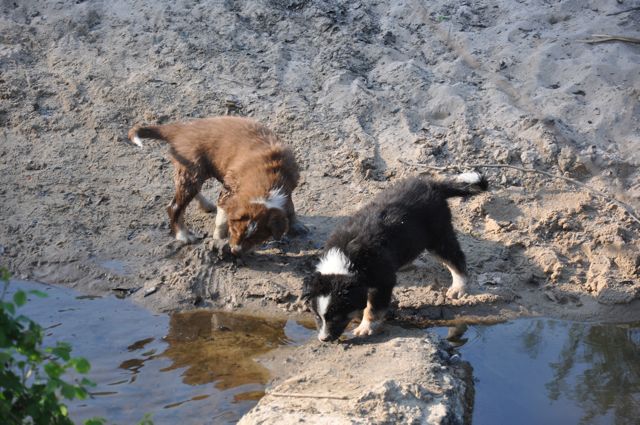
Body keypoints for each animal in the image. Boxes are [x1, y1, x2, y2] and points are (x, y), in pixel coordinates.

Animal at [129, 116, 306, 253]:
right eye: (234, 230)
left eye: (257, 239)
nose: (235, 251)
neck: (268, 182)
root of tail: (181, 130)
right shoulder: (228, 191)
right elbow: (221, 219)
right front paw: (218, 239)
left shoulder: (289, 187)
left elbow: (290, 208)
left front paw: (297, 226)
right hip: (192, 169)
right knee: (174, 206)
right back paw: (184, 236)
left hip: (195, 171)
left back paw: (206, 205)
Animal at [302, 172, 488, 342]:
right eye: (317, 316)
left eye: (336, 317)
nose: (323, 339)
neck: (347, 261)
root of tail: (433, 184)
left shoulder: (383, 281)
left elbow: (372, 308)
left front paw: (364, 328)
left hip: (438, 236)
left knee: (456, 259)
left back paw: (458, 288)